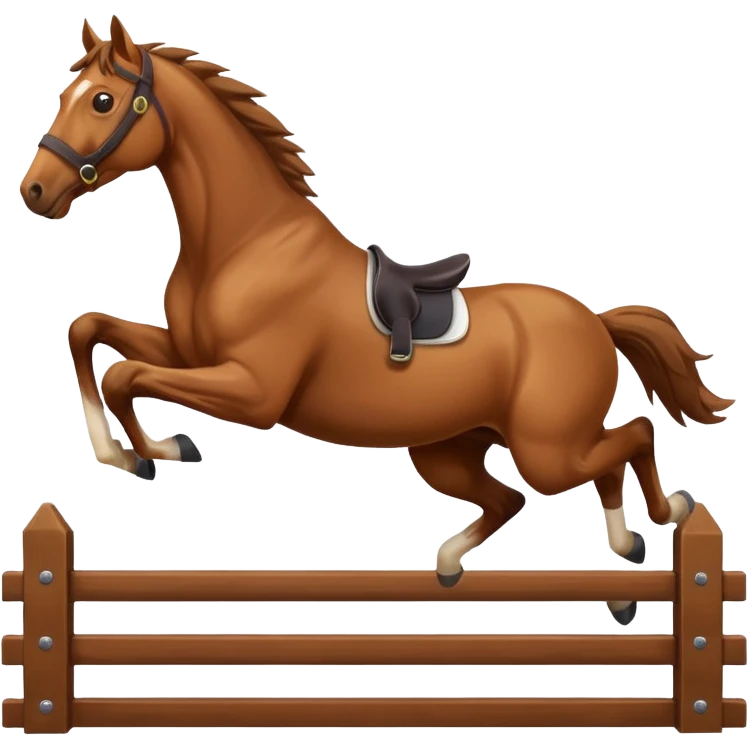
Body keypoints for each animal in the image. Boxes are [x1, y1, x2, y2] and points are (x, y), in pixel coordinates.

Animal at [19, 17, 734, 626]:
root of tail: (595, 320)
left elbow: (125, 375)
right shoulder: (190, 353)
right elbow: (89, 331)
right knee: (528, 492)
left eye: (102, 101)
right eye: (66, 94)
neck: (246, 243)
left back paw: (662, 519)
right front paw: (124, 451)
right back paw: (546, 563)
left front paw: (158, 452)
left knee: (630, 438)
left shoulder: (252, 391)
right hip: (449, 452)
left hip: (546, 448)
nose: (35, 192)